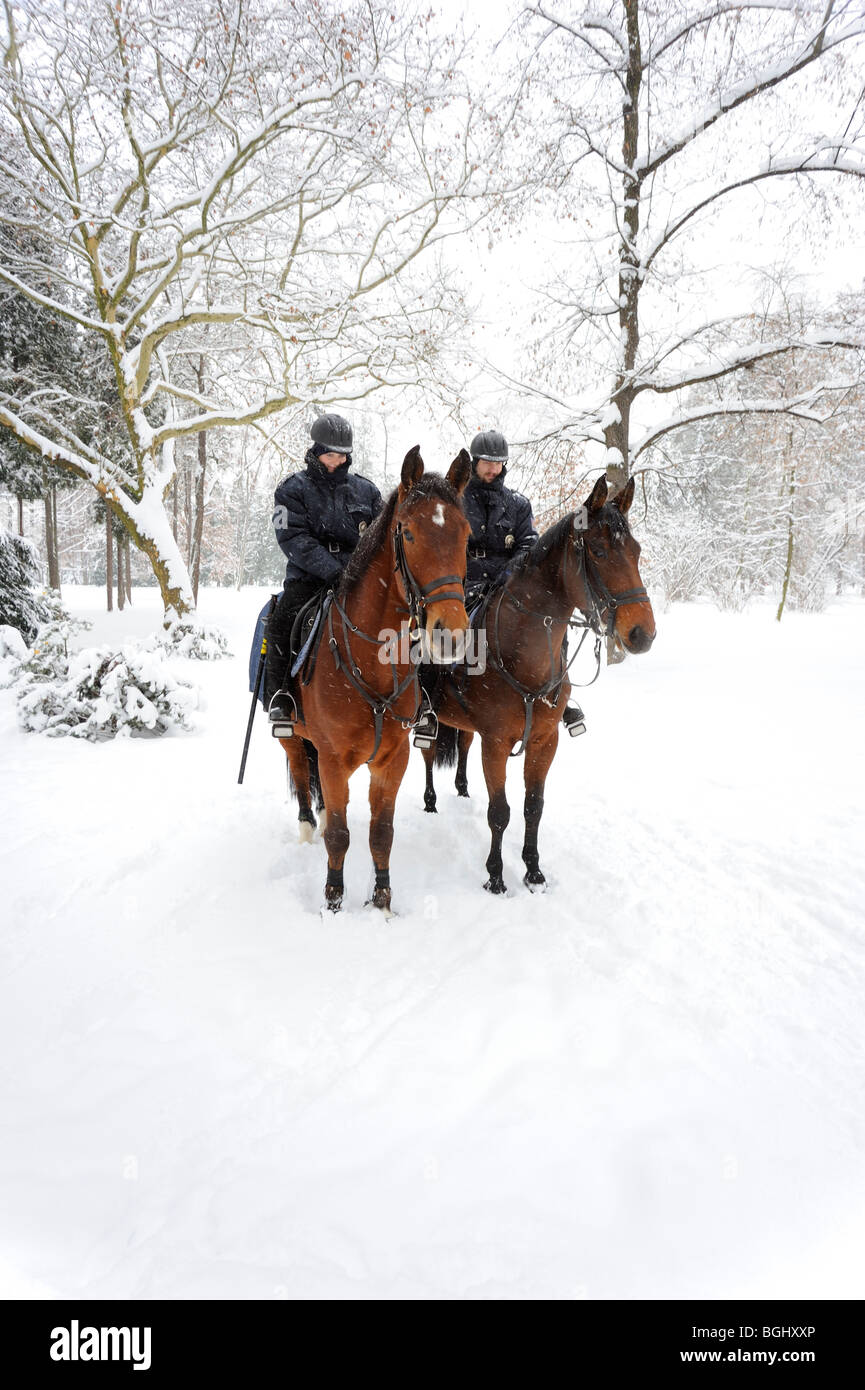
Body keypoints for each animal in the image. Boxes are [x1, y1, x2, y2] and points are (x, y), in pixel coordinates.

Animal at [283, 444, 475, 917]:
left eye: (465, 535)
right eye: (408, 533)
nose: (451, 634)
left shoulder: (393, 759)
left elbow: (380, 833)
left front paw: (383, 901)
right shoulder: (334, 760)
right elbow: (339, 835)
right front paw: (333, 902)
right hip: (291, 735)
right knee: (300, 773)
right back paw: (306, 827)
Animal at [422, 475, 656, 889]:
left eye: (636, 550)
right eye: (598, 551)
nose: (642, 633)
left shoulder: (545, 741)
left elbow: (534, 806)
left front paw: (533, 871)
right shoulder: (496, 744)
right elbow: (500, 811)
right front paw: (496, 877)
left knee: (461, 743)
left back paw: (462, 790)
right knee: (430, 752)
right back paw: (431, 800)